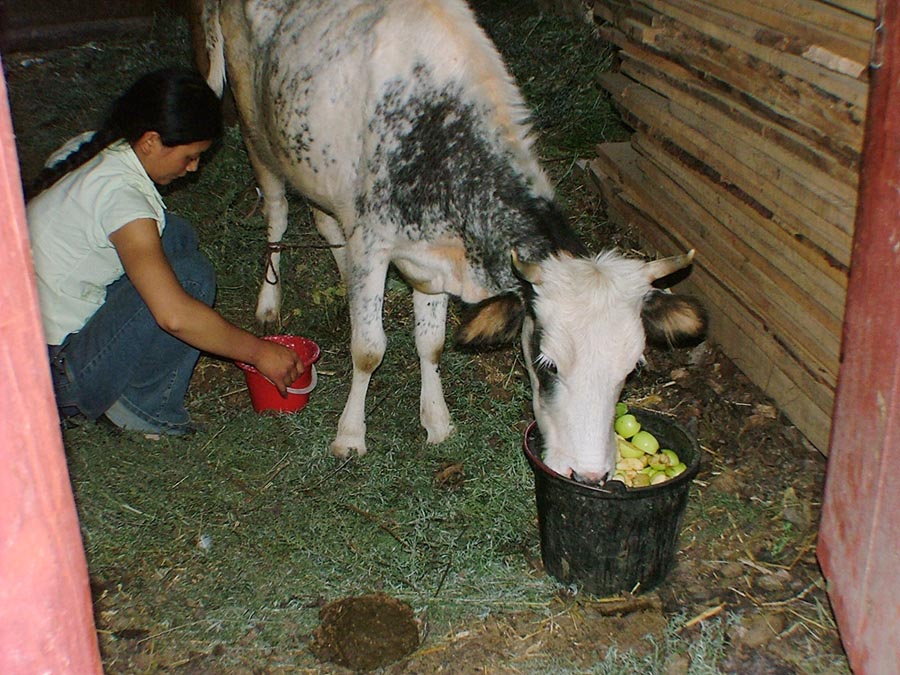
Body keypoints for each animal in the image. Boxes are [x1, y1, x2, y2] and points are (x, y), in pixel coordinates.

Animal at [193, 1, 708, 486]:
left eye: (630, 370)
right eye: (548, 365)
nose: (589, 475)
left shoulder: (432, 261)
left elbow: (432, 344)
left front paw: (437, 420)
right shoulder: (374, 244)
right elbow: (369, 348)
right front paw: (350, 435)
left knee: (325, 221)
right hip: (256, 124)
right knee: (277, 211)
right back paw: (269, 302)